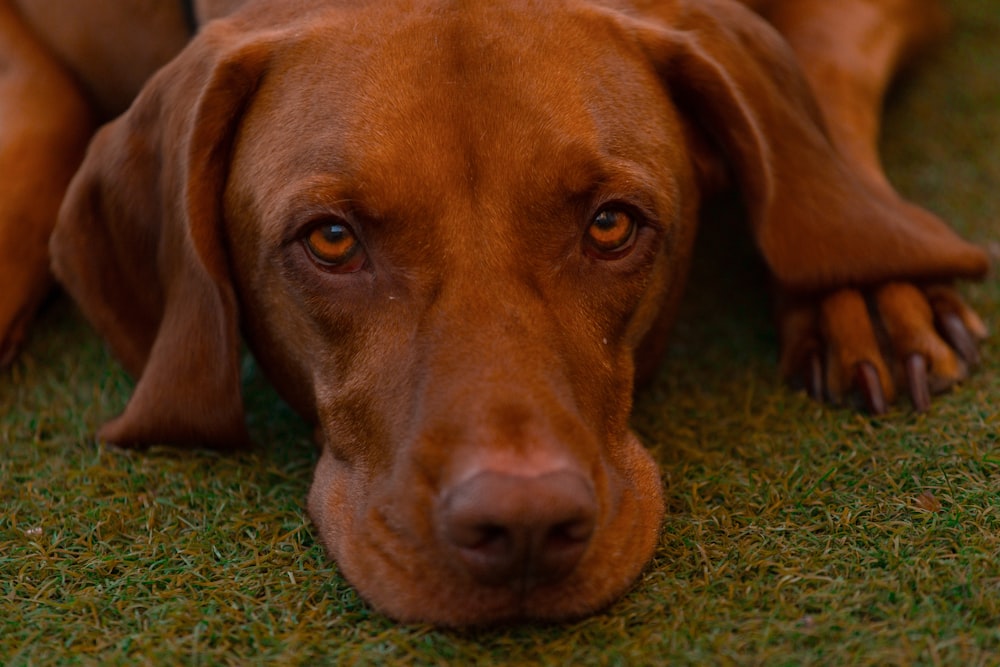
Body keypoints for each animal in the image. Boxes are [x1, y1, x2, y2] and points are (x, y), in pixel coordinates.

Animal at [0, 0, 988, 628]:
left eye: (611, 224)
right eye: (331, 240)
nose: (522, 529)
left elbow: (821, 74)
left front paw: (862, 279)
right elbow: (37, 113)